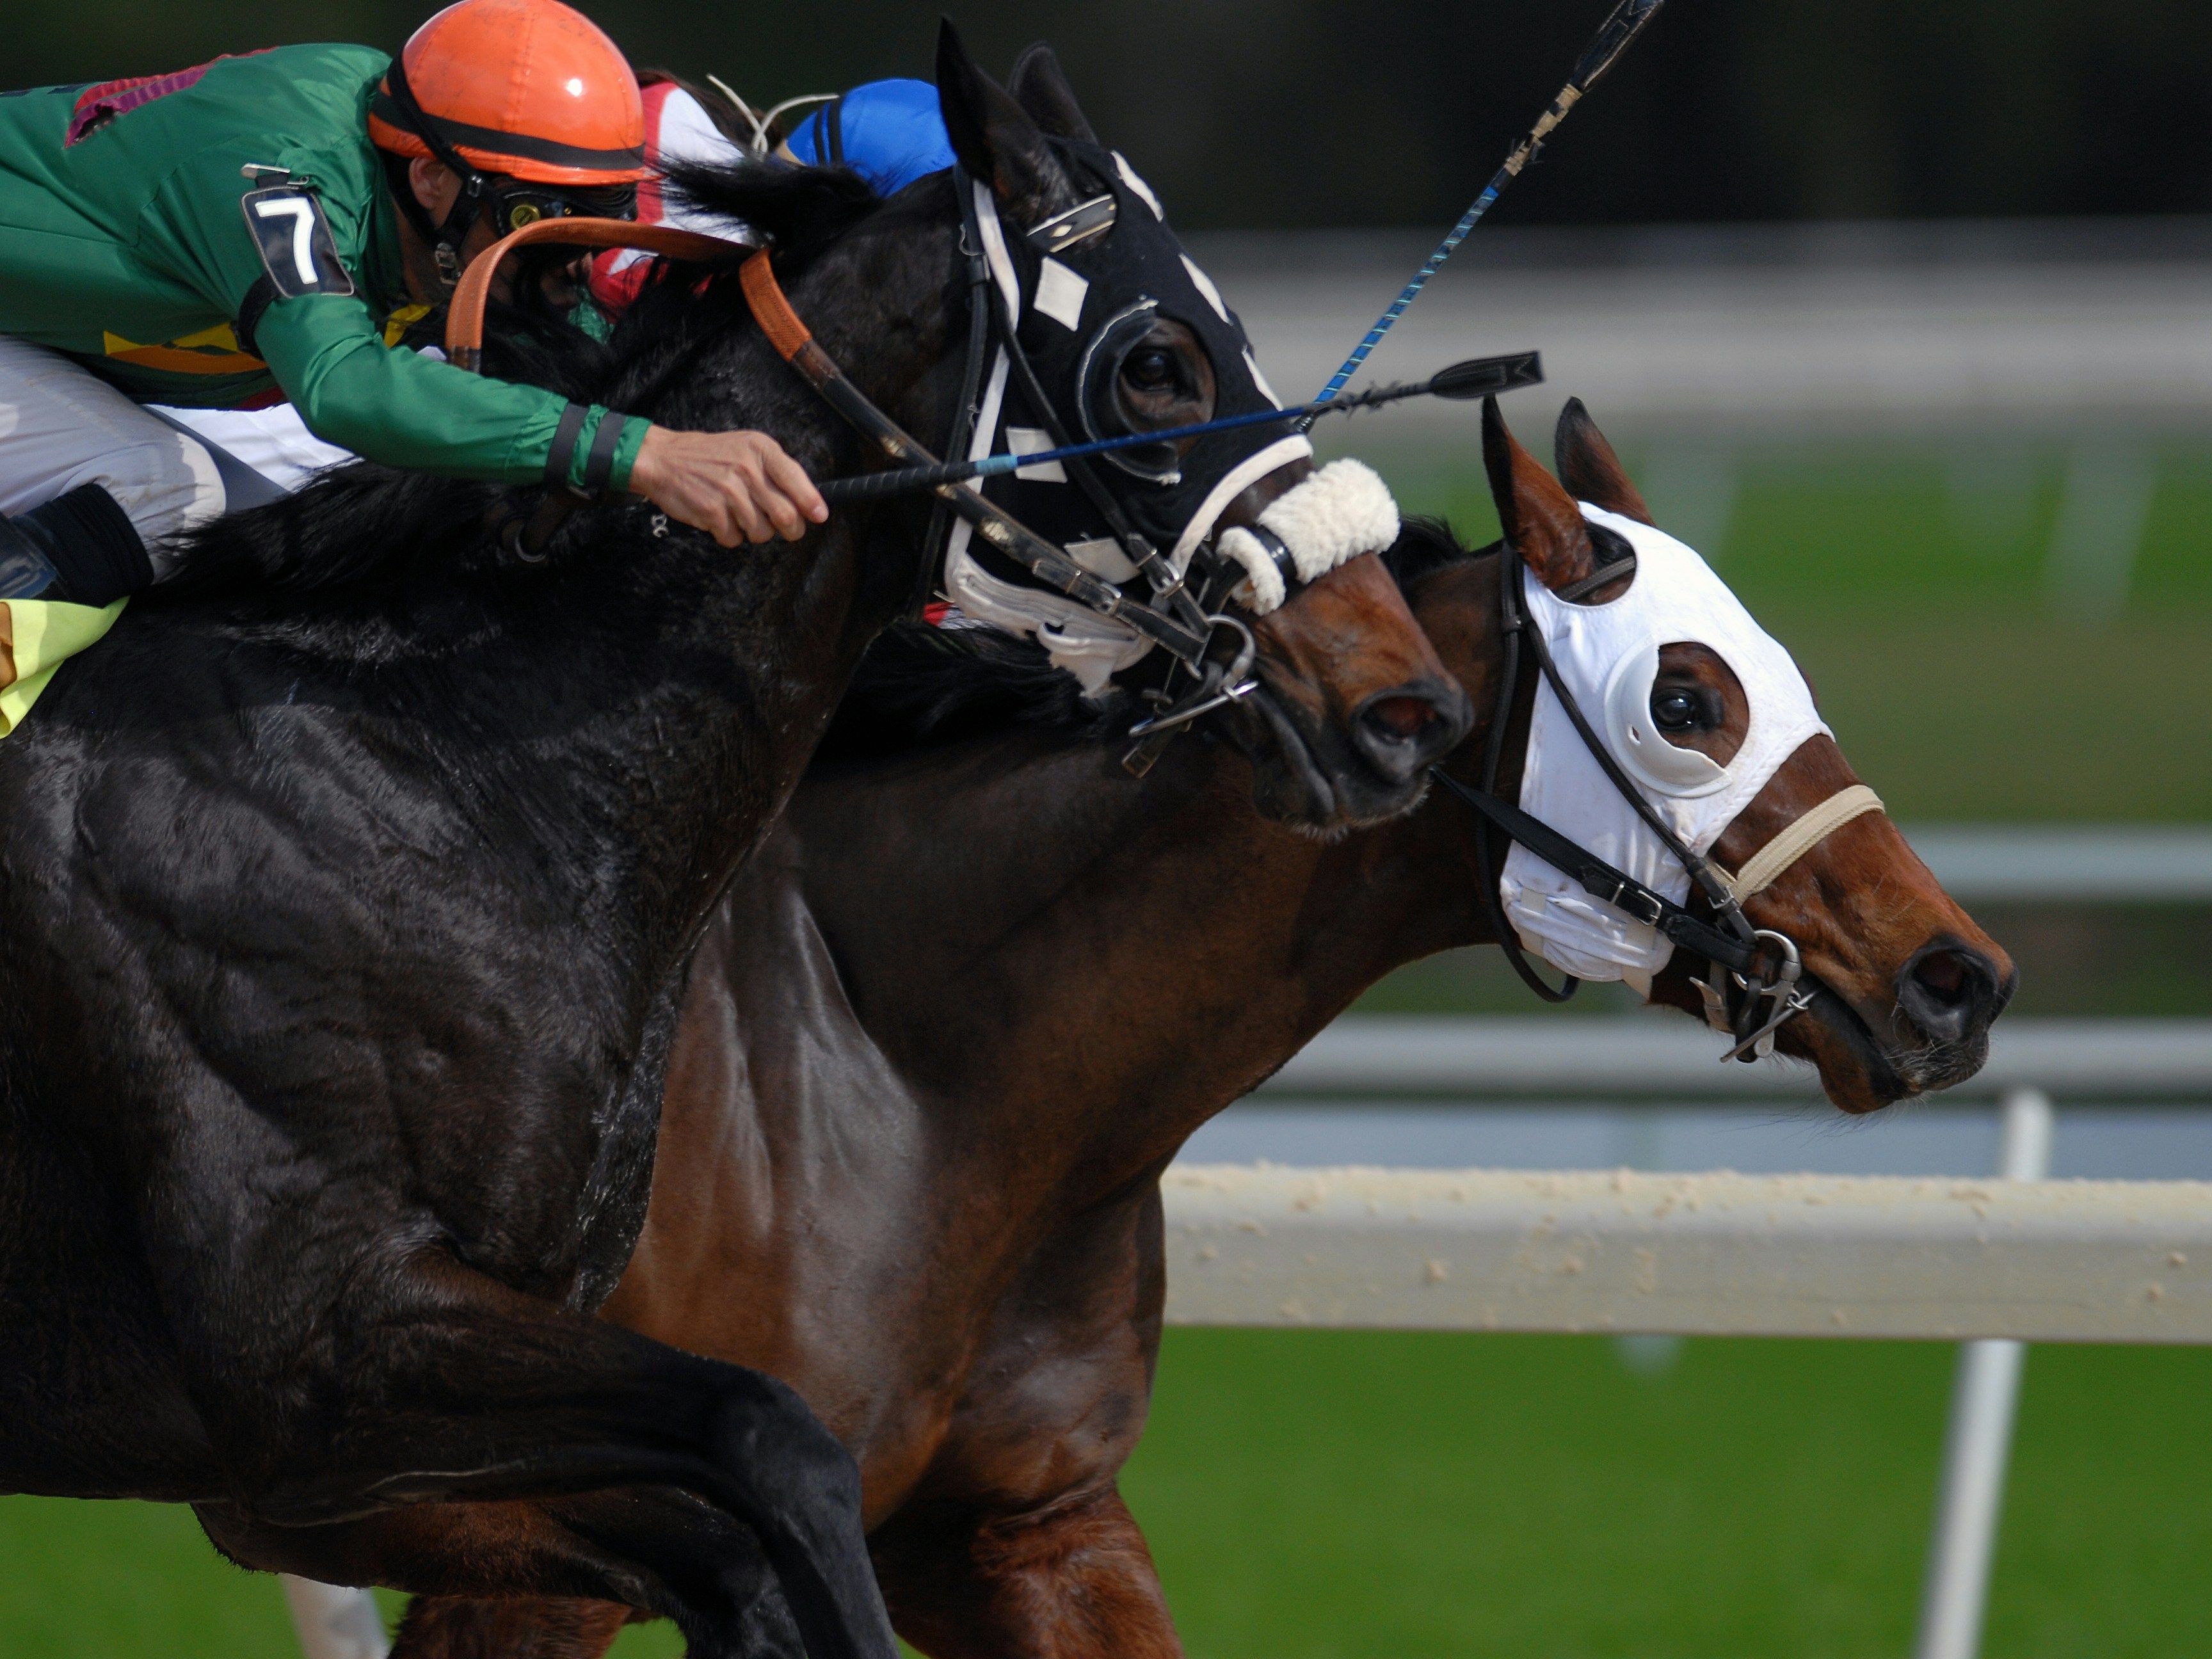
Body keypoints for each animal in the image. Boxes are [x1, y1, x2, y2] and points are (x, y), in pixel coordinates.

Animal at [0, 30, 1468, 1658]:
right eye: (1154, 362)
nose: (1399, 706)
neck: (441, 767)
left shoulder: (401, 1432)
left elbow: (743, 1534)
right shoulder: (314, 1359)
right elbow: (777, 1444)